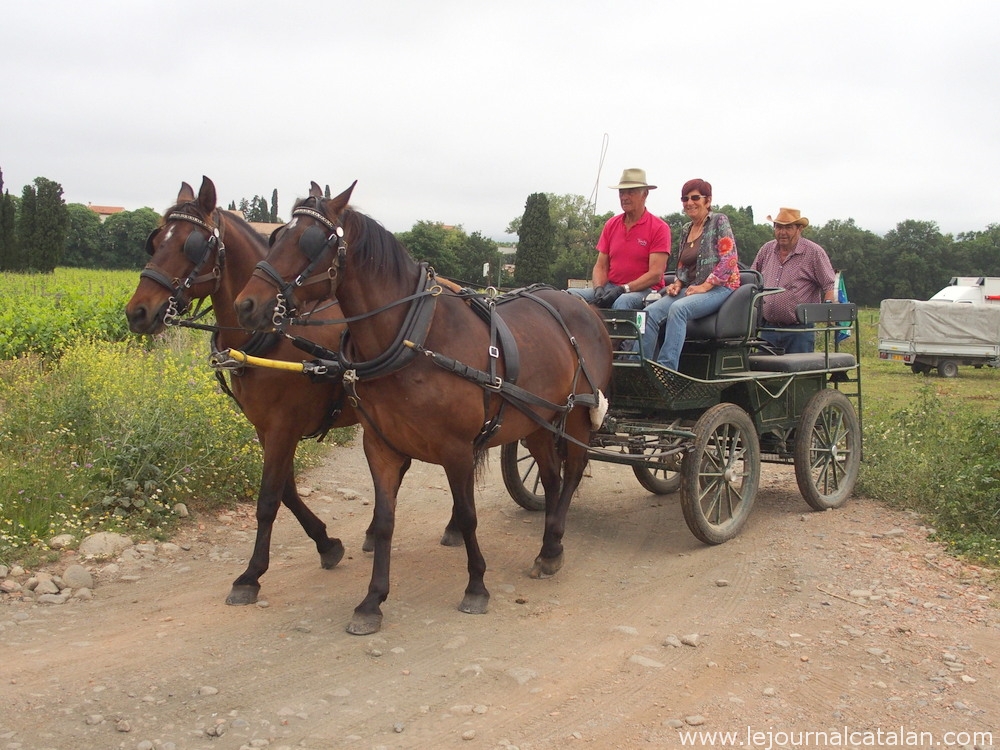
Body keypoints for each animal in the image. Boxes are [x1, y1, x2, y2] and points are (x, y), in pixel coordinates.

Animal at [124, 179, 360, 608]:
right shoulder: (265, 428)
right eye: (156, 241)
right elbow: (286, 490)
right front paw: (326, 542)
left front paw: (251, 575)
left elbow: (267, 500)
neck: (270, 336)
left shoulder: (284, 427)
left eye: (191, 245)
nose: (137, 312)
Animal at [235, 182, 612, 636]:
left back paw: (553, 544)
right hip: (535, 422)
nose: (245, 305)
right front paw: (372, 601)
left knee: (572, 473)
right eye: (276, 236)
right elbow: (384, 521)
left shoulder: (456, 449)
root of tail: (584, 307)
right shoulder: (380, 446)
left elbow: (467, 515)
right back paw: (550, 546)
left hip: (575, 416)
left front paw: (476, 586)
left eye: (309, 241)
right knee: (552, 479)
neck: (413, 338)